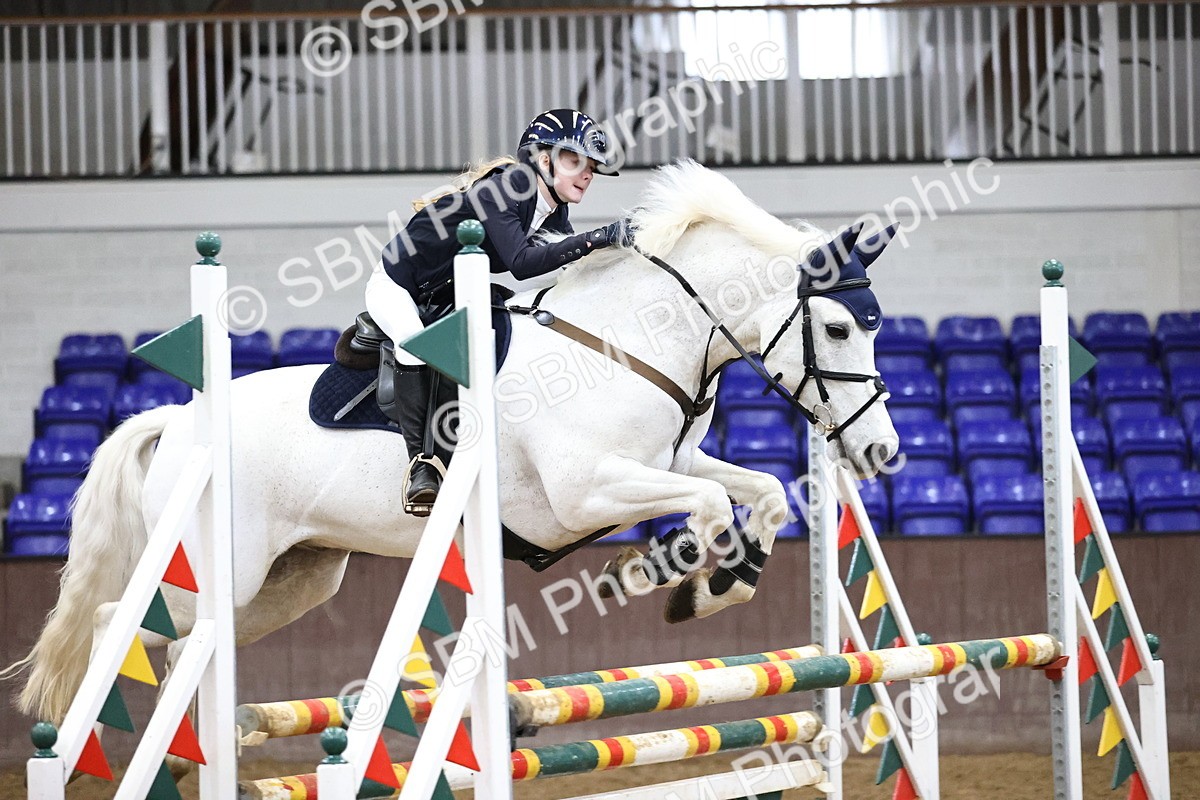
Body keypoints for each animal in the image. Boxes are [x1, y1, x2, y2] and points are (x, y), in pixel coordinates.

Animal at [7, 160, 899, 729]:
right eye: (838, 327)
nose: (884, 453)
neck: (623, 339)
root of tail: (177, 420)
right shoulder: (585, 493)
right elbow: (712, 506)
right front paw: (667, 577)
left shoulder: (665, 464)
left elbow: (763, 493)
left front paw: (708, 583)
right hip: (217, 568)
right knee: (117, 626)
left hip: (286, 583)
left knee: (182, 646)